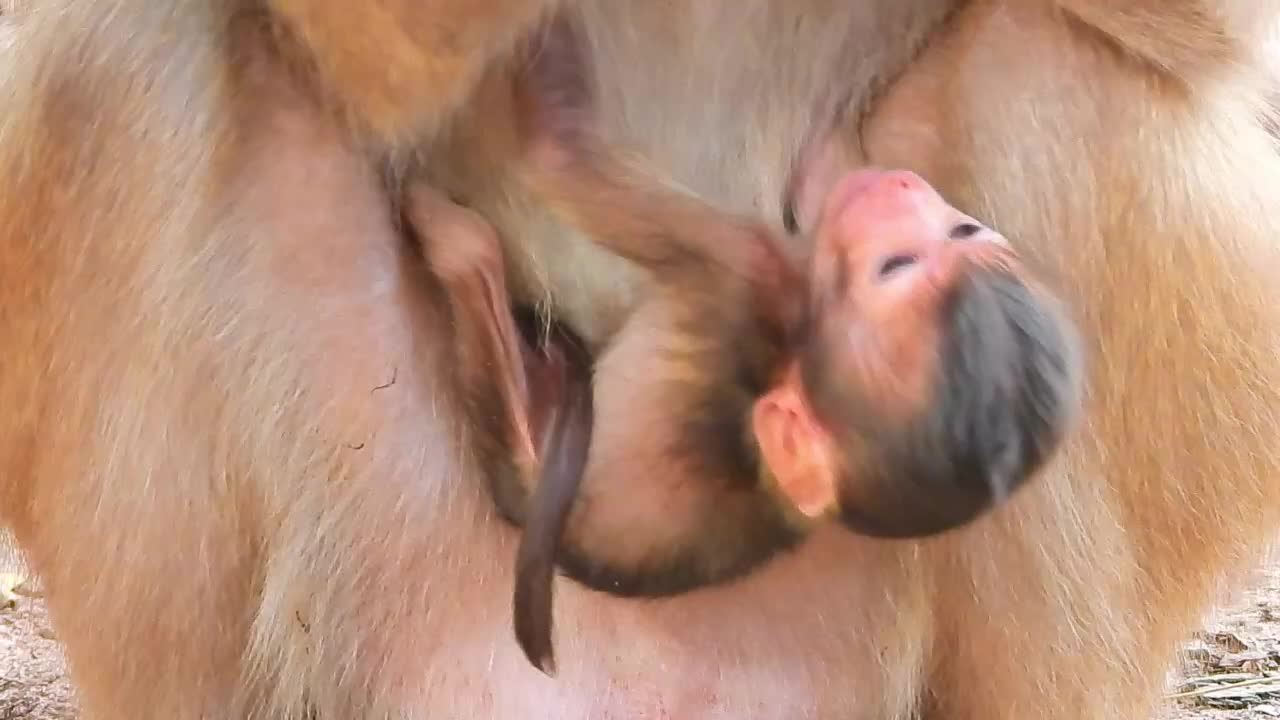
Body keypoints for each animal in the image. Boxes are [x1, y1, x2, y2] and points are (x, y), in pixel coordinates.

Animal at [3, 1, 1280, 719]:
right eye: (912, 246)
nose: (900, 197)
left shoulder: (744, 271)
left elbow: (1196, 40)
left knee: (1044, 64)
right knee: (120, 45)